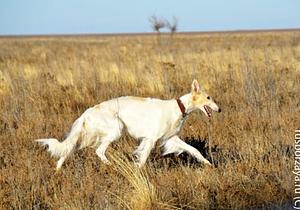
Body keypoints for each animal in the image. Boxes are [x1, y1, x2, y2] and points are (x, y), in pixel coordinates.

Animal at [36, 79, 221, 170]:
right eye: (209, 97)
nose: (219, 109)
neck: (179, 106)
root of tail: (87, 112)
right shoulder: (151, 139)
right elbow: (143, 158)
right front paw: (138, 169)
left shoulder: (171, 138)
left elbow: (194, 150)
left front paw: (208, 164)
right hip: (115, 130)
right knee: (99, 151)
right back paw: (111, 165)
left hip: (87, 137)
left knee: (67, 151)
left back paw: (57, 170)